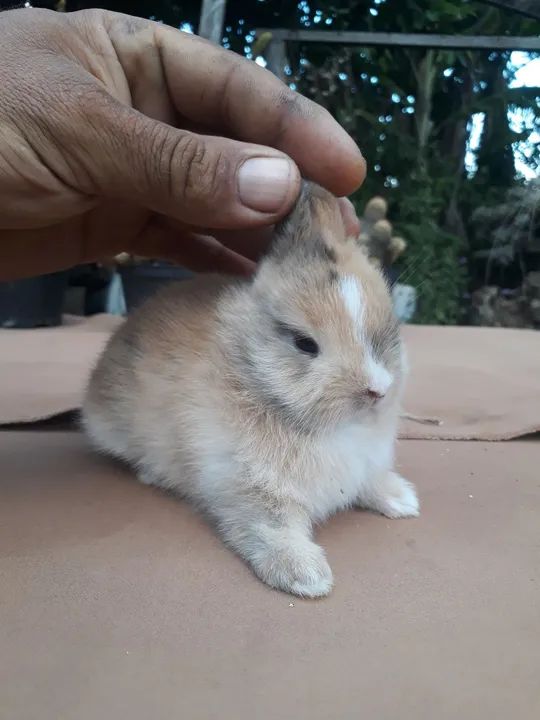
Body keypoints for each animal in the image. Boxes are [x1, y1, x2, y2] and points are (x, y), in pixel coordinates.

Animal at [82, 181, 419, 598]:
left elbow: (370, 482)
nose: (377, 389)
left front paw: (403, 501)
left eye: (388, 329)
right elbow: (268, 529)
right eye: (304, 343)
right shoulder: (250, 490)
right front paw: (307, 577)